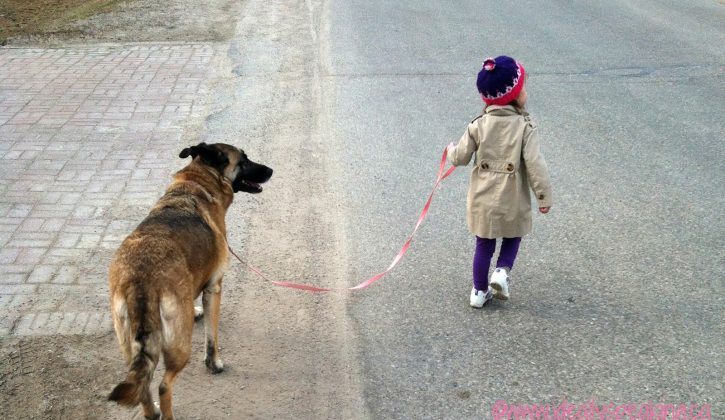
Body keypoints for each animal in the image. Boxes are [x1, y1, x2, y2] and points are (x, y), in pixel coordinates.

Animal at [109, 143, 272, 418]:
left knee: (142, 384)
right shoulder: (215, 288)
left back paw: (151, 411)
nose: (270, 170)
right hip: (179, 346)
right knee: (163, 386)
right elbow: (211, 338)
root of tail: (140, 280)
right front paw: (214, 363)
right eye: (244, 159)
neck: (197, 182)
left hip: (129, 345)